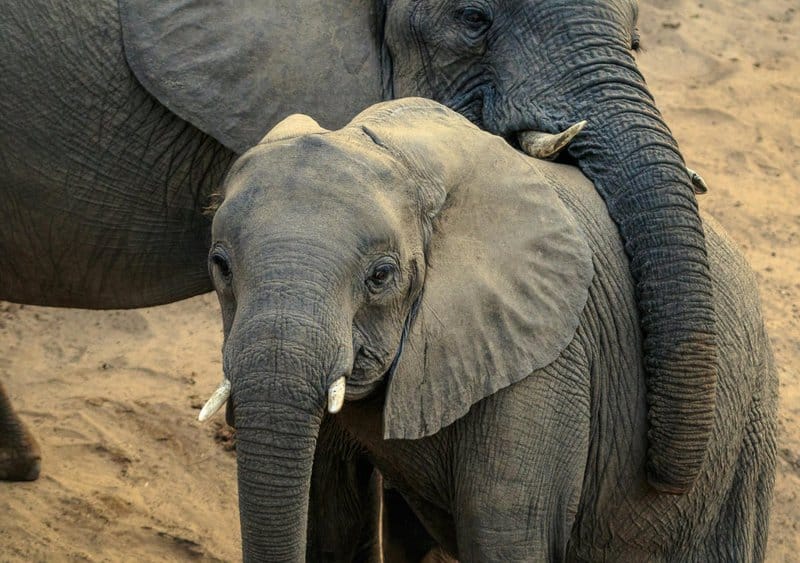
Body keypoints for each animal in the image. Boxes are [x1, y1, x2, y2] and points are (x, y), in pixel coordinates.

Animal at [203, 98, 777, 562]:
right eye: (220, 266)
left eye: (380, 276)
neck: (394, 150)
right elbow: (330, 520)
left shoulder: (549, 362)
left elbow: (506, 537)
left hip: (745, 441)